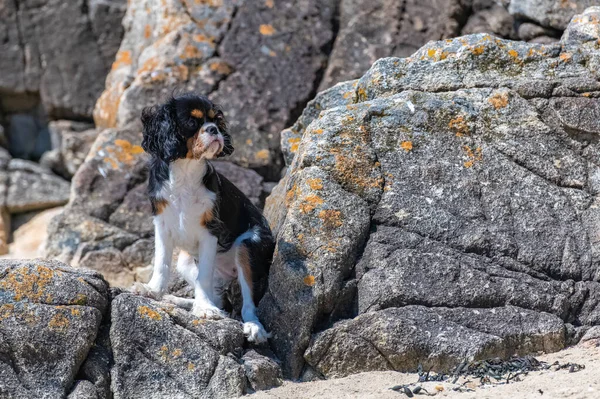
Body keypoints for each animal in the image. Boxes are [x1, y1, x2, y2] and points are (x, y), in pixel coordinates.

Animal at [132, 94, 276, 344]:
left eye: (216, 121)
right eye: (192, 122)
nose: (213, 130)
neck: (186, 170)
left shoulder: (211, 231)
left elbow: (204, 276)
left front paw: (205, 310)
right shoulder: (162, 224)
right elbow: (161, 262)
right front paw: (153, 290)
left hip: (248, 246)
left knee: (247, 304)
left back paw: (253, 327)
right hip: (185, 261)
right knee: (220, 300)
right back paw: (178, 300)